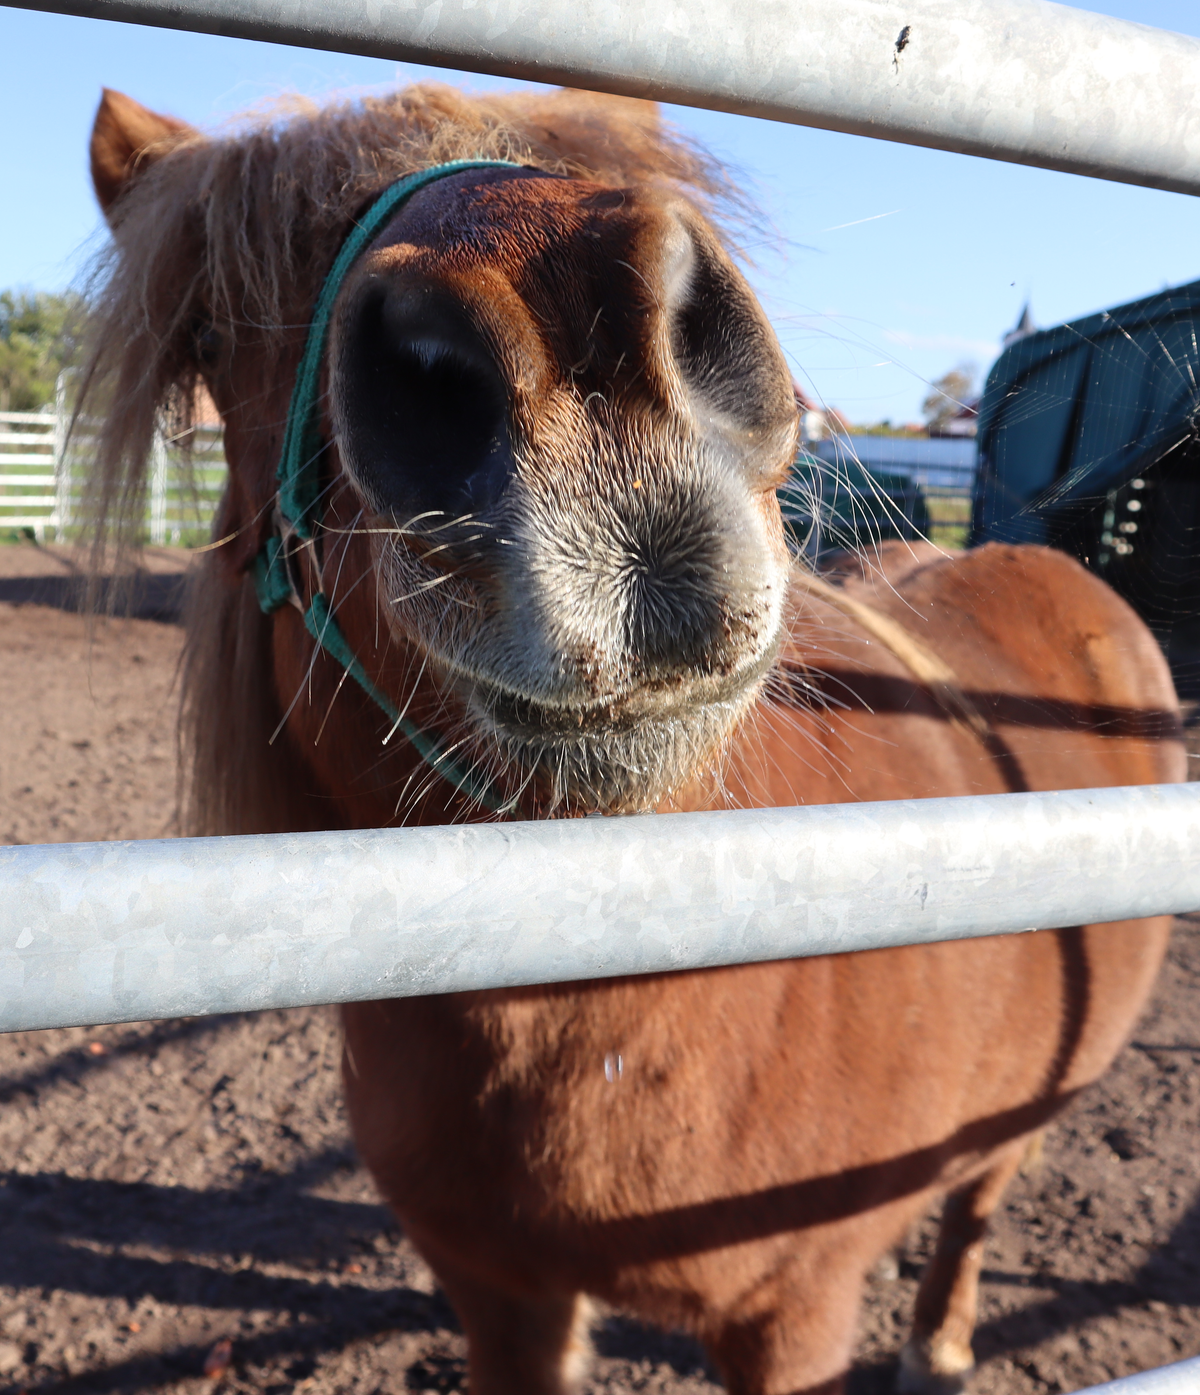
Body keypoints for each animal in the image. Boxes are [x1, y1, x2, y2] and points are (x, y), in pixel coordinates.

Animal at [84, 83, 1184, 1395]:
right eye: (211, 327)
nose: (572, 309)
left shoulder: (791, 1316)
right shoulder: (500, 1294)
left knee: (977, 1203)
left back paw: (943, 1346)